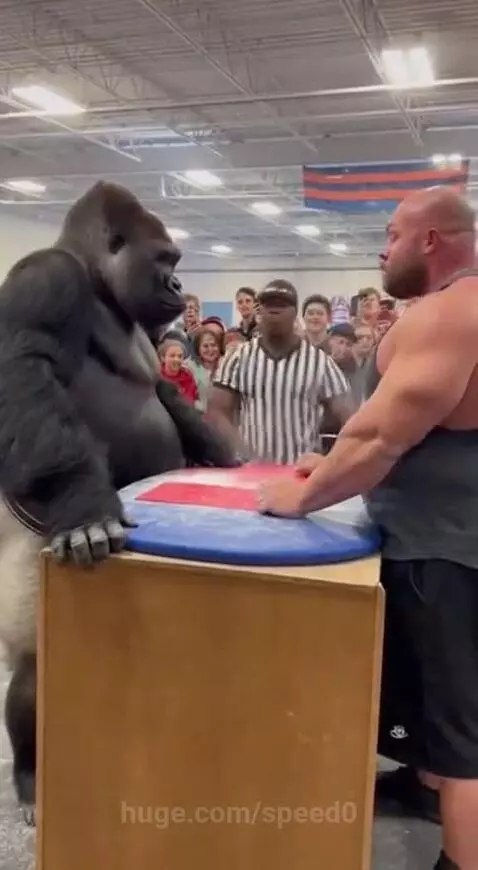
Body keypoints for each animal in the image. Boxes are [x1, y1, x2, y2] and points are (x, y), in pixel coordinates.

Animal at [0, 181, 238, 822]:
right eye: (165, 260)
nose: (179, 287)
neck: (97, 280)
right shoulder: (43, 280)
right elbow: (25, 370)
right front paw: (86, 510)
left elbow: (165, 393)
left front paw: (222, 456)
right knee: (35, 667)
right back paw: (30, 772)